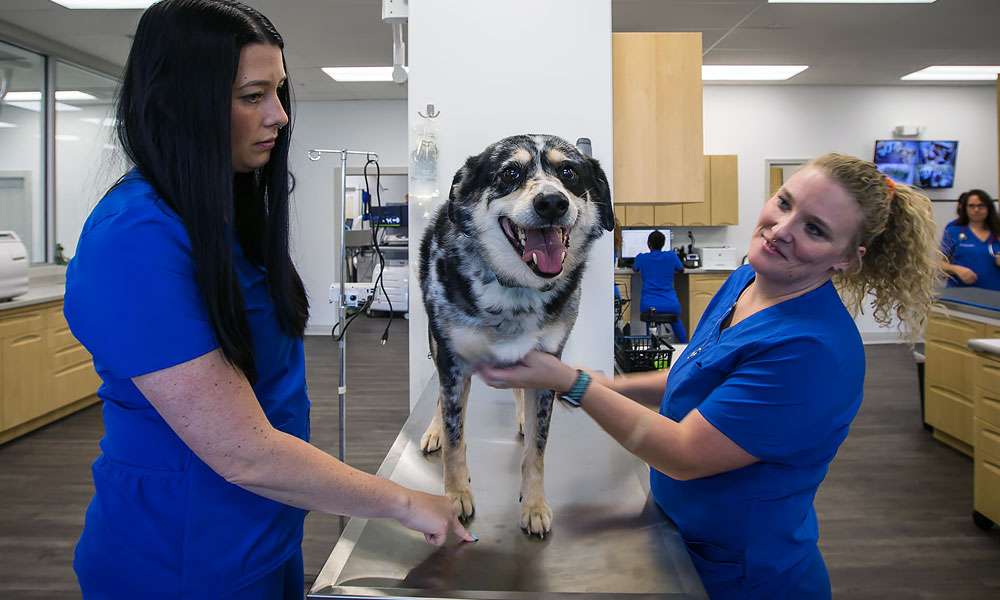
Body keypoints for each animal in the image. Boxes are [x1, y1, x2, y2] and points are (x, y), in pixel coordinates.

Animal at [418, 136, 612, 540]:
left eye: (569, 171)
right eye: (510, 173)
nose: (552, 202)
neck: (515, 291)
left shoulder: (547, 364)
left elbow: (537, 450)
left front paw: (534, 506)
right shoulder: (452, 362)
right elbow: (456, 438)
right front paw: (456, 495)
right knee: (442, 402)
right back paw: (434, 430)